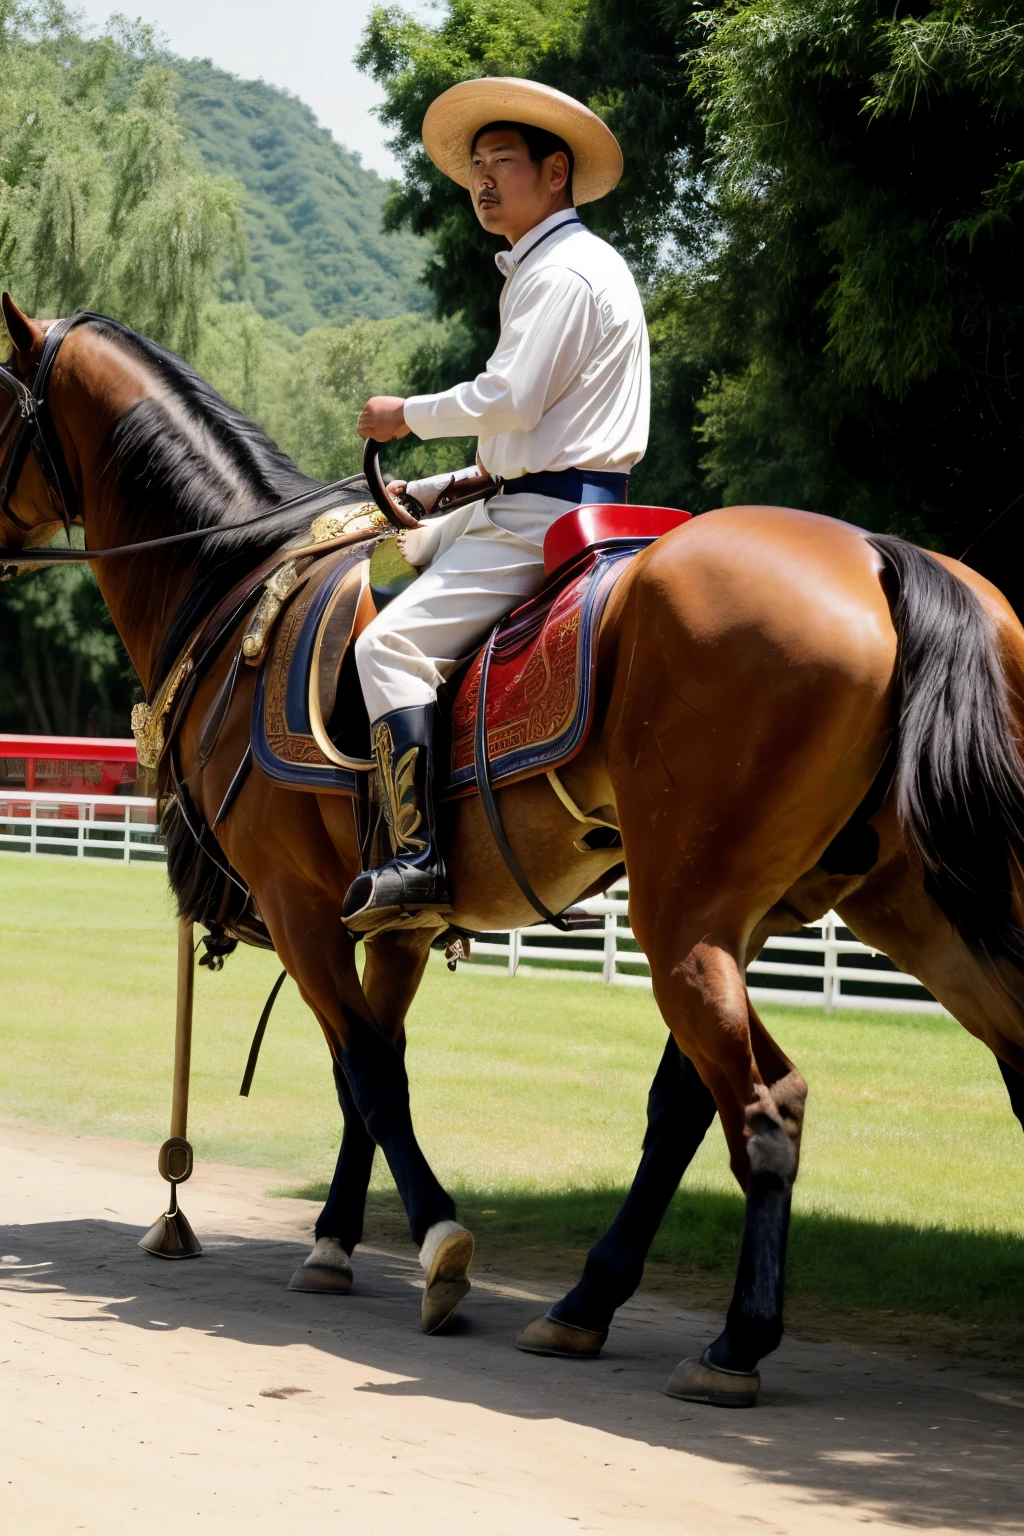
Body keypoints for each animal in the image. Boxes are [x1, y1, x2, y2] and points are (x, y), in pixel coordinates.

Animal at [2, 296, 1024, 1406]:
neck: (238, 583)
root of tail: (876, 556)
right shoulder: (393, 925)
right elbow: (367, 1076)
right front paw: (333, 1242)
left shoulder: (297, 905)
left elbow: (371, 1072)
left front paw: (439, 1243)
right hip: (889, 907)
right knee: (737, 1097)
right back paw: (587, 1303)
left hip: (690, 918)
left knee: (761, 1105)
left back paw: (731, 1343)